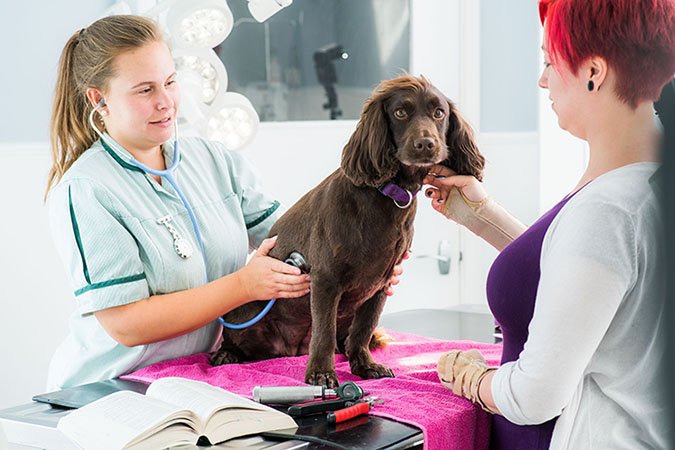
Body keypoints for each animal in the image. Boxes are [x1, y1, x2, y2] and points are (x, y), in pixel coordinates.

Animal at [211, 74, 486, 386]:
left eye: (439, 113)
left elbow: (363, 330)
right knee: (238, 340)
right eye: (400, 112)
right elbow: (324, 333)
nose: (426, 144)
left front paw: (364, 364)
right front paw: (321, 373)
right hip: (244, 310)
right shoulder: (325, 280)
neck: (388, 194)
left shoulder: (381, 285)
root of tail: (290, 349)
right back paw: (226, 354)